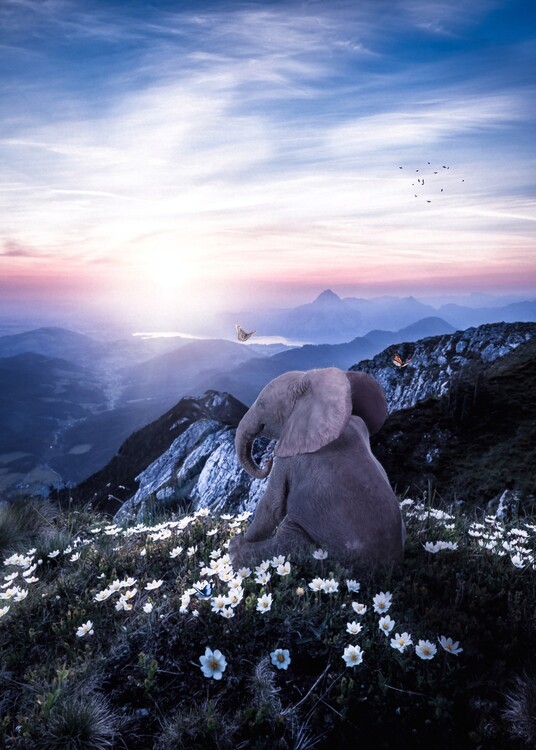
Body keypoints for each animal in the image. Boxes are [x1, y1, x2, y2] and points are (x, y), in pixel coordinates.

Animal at [228, 367, 405, 568]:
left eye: (262, 404)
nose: (267, 461)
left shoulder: (289, 458)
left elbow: (271, 506)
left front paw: (240, 540)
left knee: (289, 542)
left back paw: (235, 549)